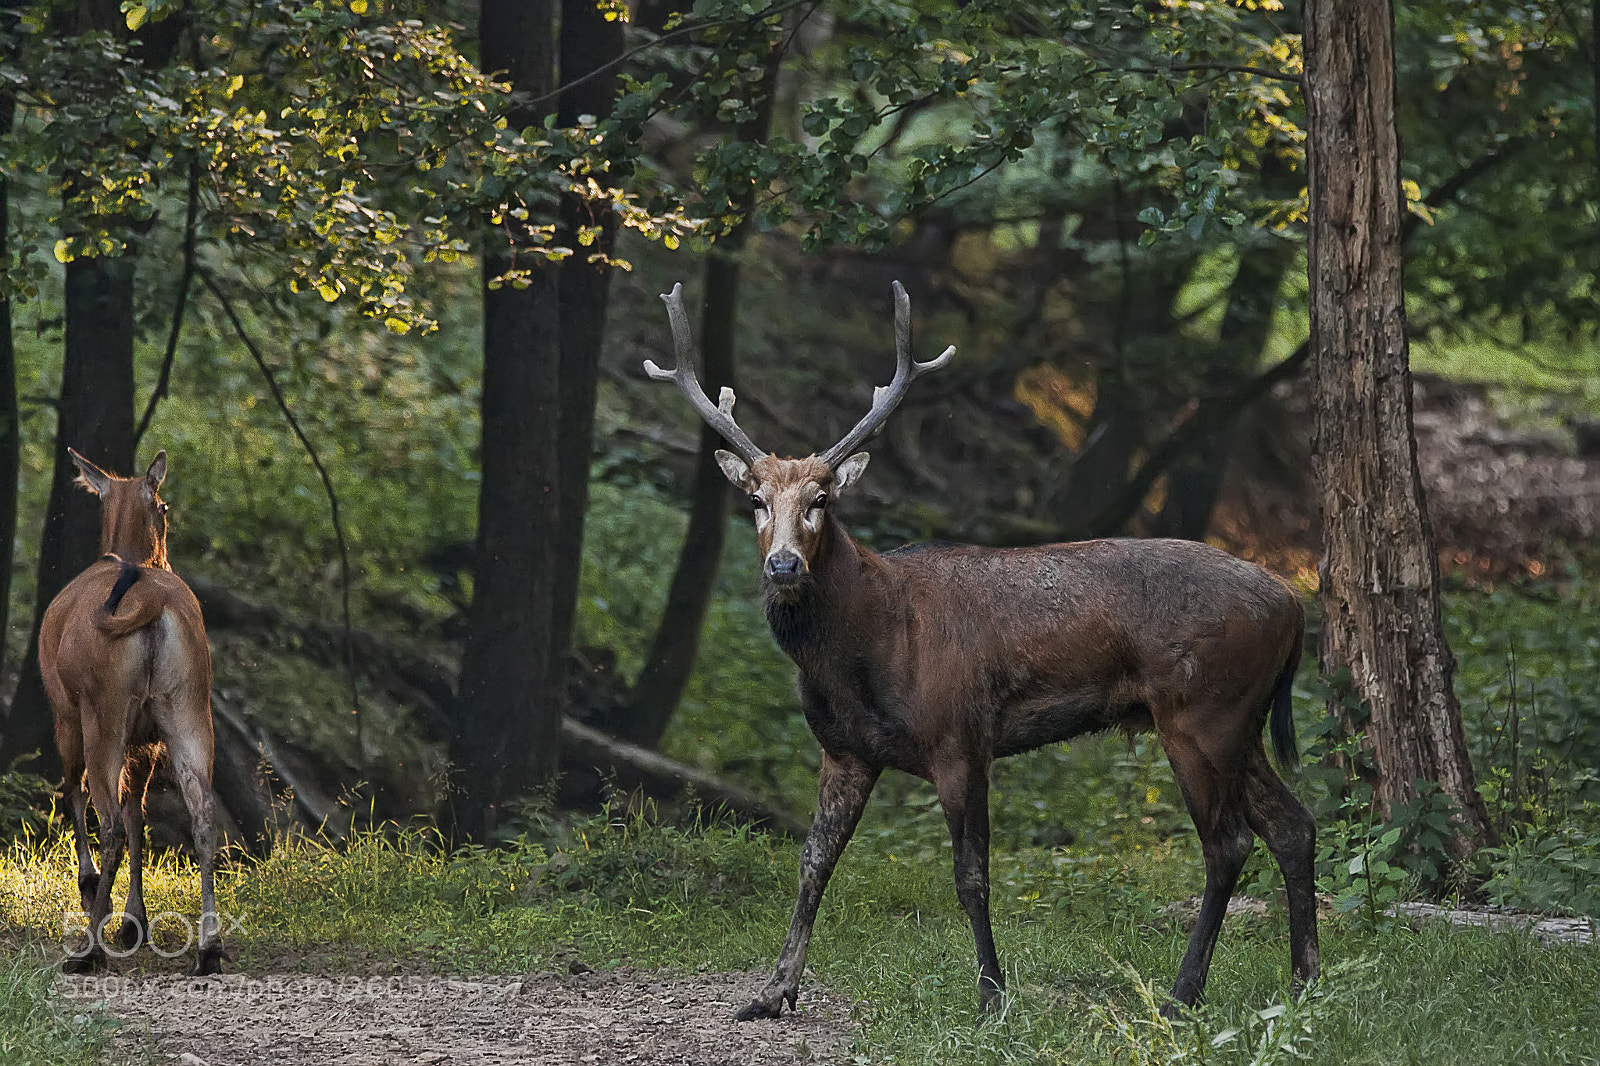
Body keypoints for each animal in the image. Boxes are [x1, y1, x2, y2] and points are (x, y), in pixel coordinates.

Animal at [40, 448, 227, 975]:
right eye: (164, 507)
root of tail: (154, 602)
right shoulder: (148, 740)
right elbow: (139, 814)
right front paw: (134, 921)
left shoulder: (65, 712)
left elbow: (76, 792)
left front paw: (94, 894)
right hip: (189, 706)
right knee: (201, 814)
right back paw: (209, 947)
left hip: (102, 712)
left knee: (106, 821)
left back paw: (88, 948)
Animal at [646, 281, 1318, 1020]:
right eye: (757, 501)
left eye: (822, 499)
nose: (784, 565)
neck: (865, 652)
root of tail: (1293, 606)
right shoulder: (845, 751)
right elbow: (814, 860)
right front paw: (772, 990)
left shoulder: (960, 737)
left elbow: (970, 875)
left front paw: (992, 993)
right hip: (1242, 723)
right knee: (1294, 824)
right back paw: (1304, 982)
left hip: (1202, 714)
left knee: (1228, 843)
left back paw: (1181, 994)